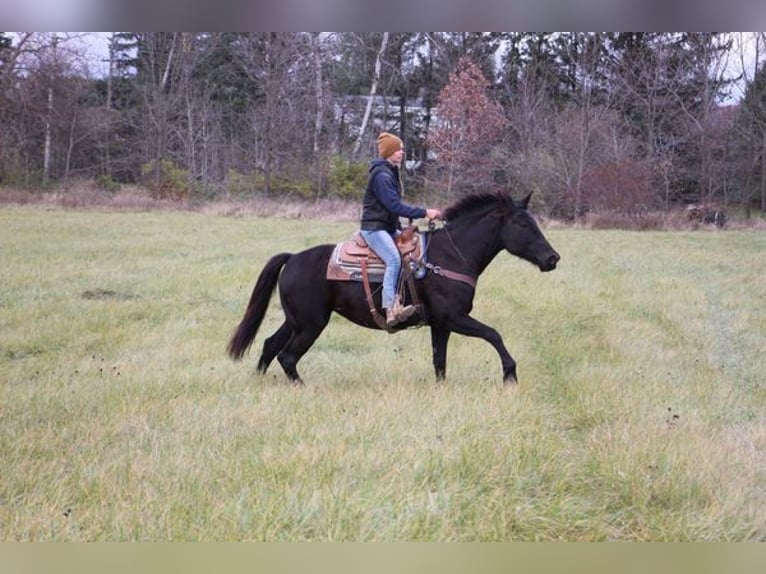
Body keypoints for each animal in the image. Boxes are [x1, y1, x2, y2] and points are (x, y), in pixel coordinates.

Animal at [225, 192, 560, 388]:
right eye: (523, 224)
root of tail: (293, 258)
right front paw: (510, 374)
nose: (552, 258)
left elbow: (440, 361)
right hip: (311, 324)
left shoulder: (441, 324)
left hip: (295, 321)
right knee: (288, 356)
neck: (451, 256)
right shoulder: (455, 318)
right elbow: (494, 335)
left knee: (270, 345)